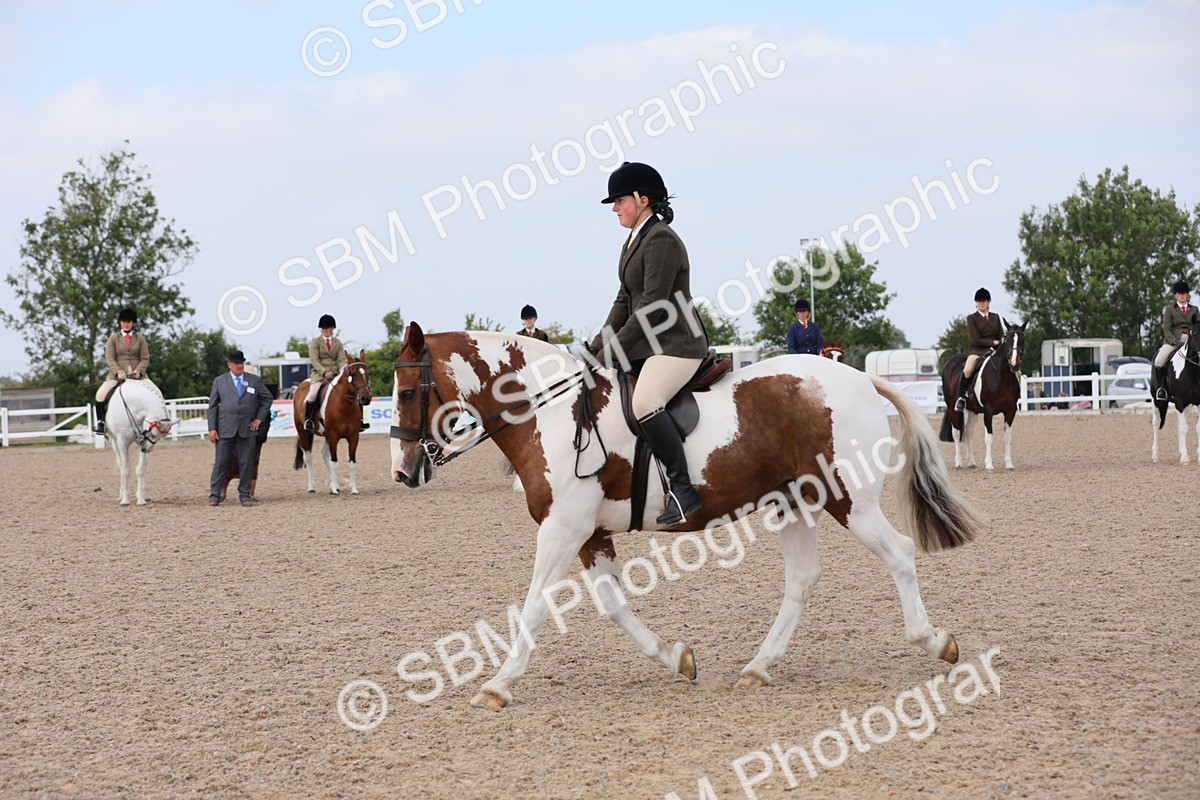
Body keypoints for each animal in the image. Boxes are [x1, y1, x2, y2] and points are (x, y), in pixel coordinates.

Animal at [292, 351, 372, 495]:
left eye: (367, 373)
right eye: (353, 374)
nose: (366, 398)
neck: (344, 405)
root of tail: (302, 385)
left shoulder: (353, 437)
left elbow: (352, 462)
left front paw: (353, 489)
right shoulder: (333, 436)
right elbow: (334, 462)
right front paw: (334, 489)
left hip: (326, 436)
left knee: (325, 455)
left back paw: (333, 485)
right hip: (303, 432)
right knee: (308, 457)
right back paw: (312, 487)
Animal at [390, 322, 981, 710]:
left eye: (407, 391)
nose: (403, 471)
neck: (550, 411)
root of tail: (857, 379)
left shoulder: (563, 529)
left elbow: (535, 606)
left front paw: (497, 684)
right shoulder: (588, 533)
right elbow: (612, 605)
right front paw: (677, 658)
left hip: (849, 501)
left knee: (899, 553)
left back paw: (935, 641)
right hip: (794, 503)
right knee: (802, 579)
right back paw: (758, 669)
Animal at [939, 323, 1026, 471]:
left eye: (1022, 340)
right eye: (1008, 340)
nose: (1014, 364)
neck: (1003, 378)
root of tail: (950, 363)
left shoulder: (1010, 411)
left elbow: (1007, 438)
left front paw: (1009, 464)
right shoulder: (988, 411)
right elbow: (989, 437)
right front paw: (989, 465)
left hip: (973, 409)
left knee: (968, 431)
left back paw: (971, 462)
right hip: (952, 408)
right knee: (956, 433)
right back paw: (958, 463)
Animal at [1152, 323, 1200, 463]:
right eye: (1195, 333)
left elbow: (1197, 428)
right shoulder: (1179, 400)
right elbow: (1184, 428)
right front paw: (1184, 459)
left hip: (1186, 405)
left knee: (1179, 424)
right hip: (1157, 401)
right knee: (1156, 423)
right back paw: (1155, 455)